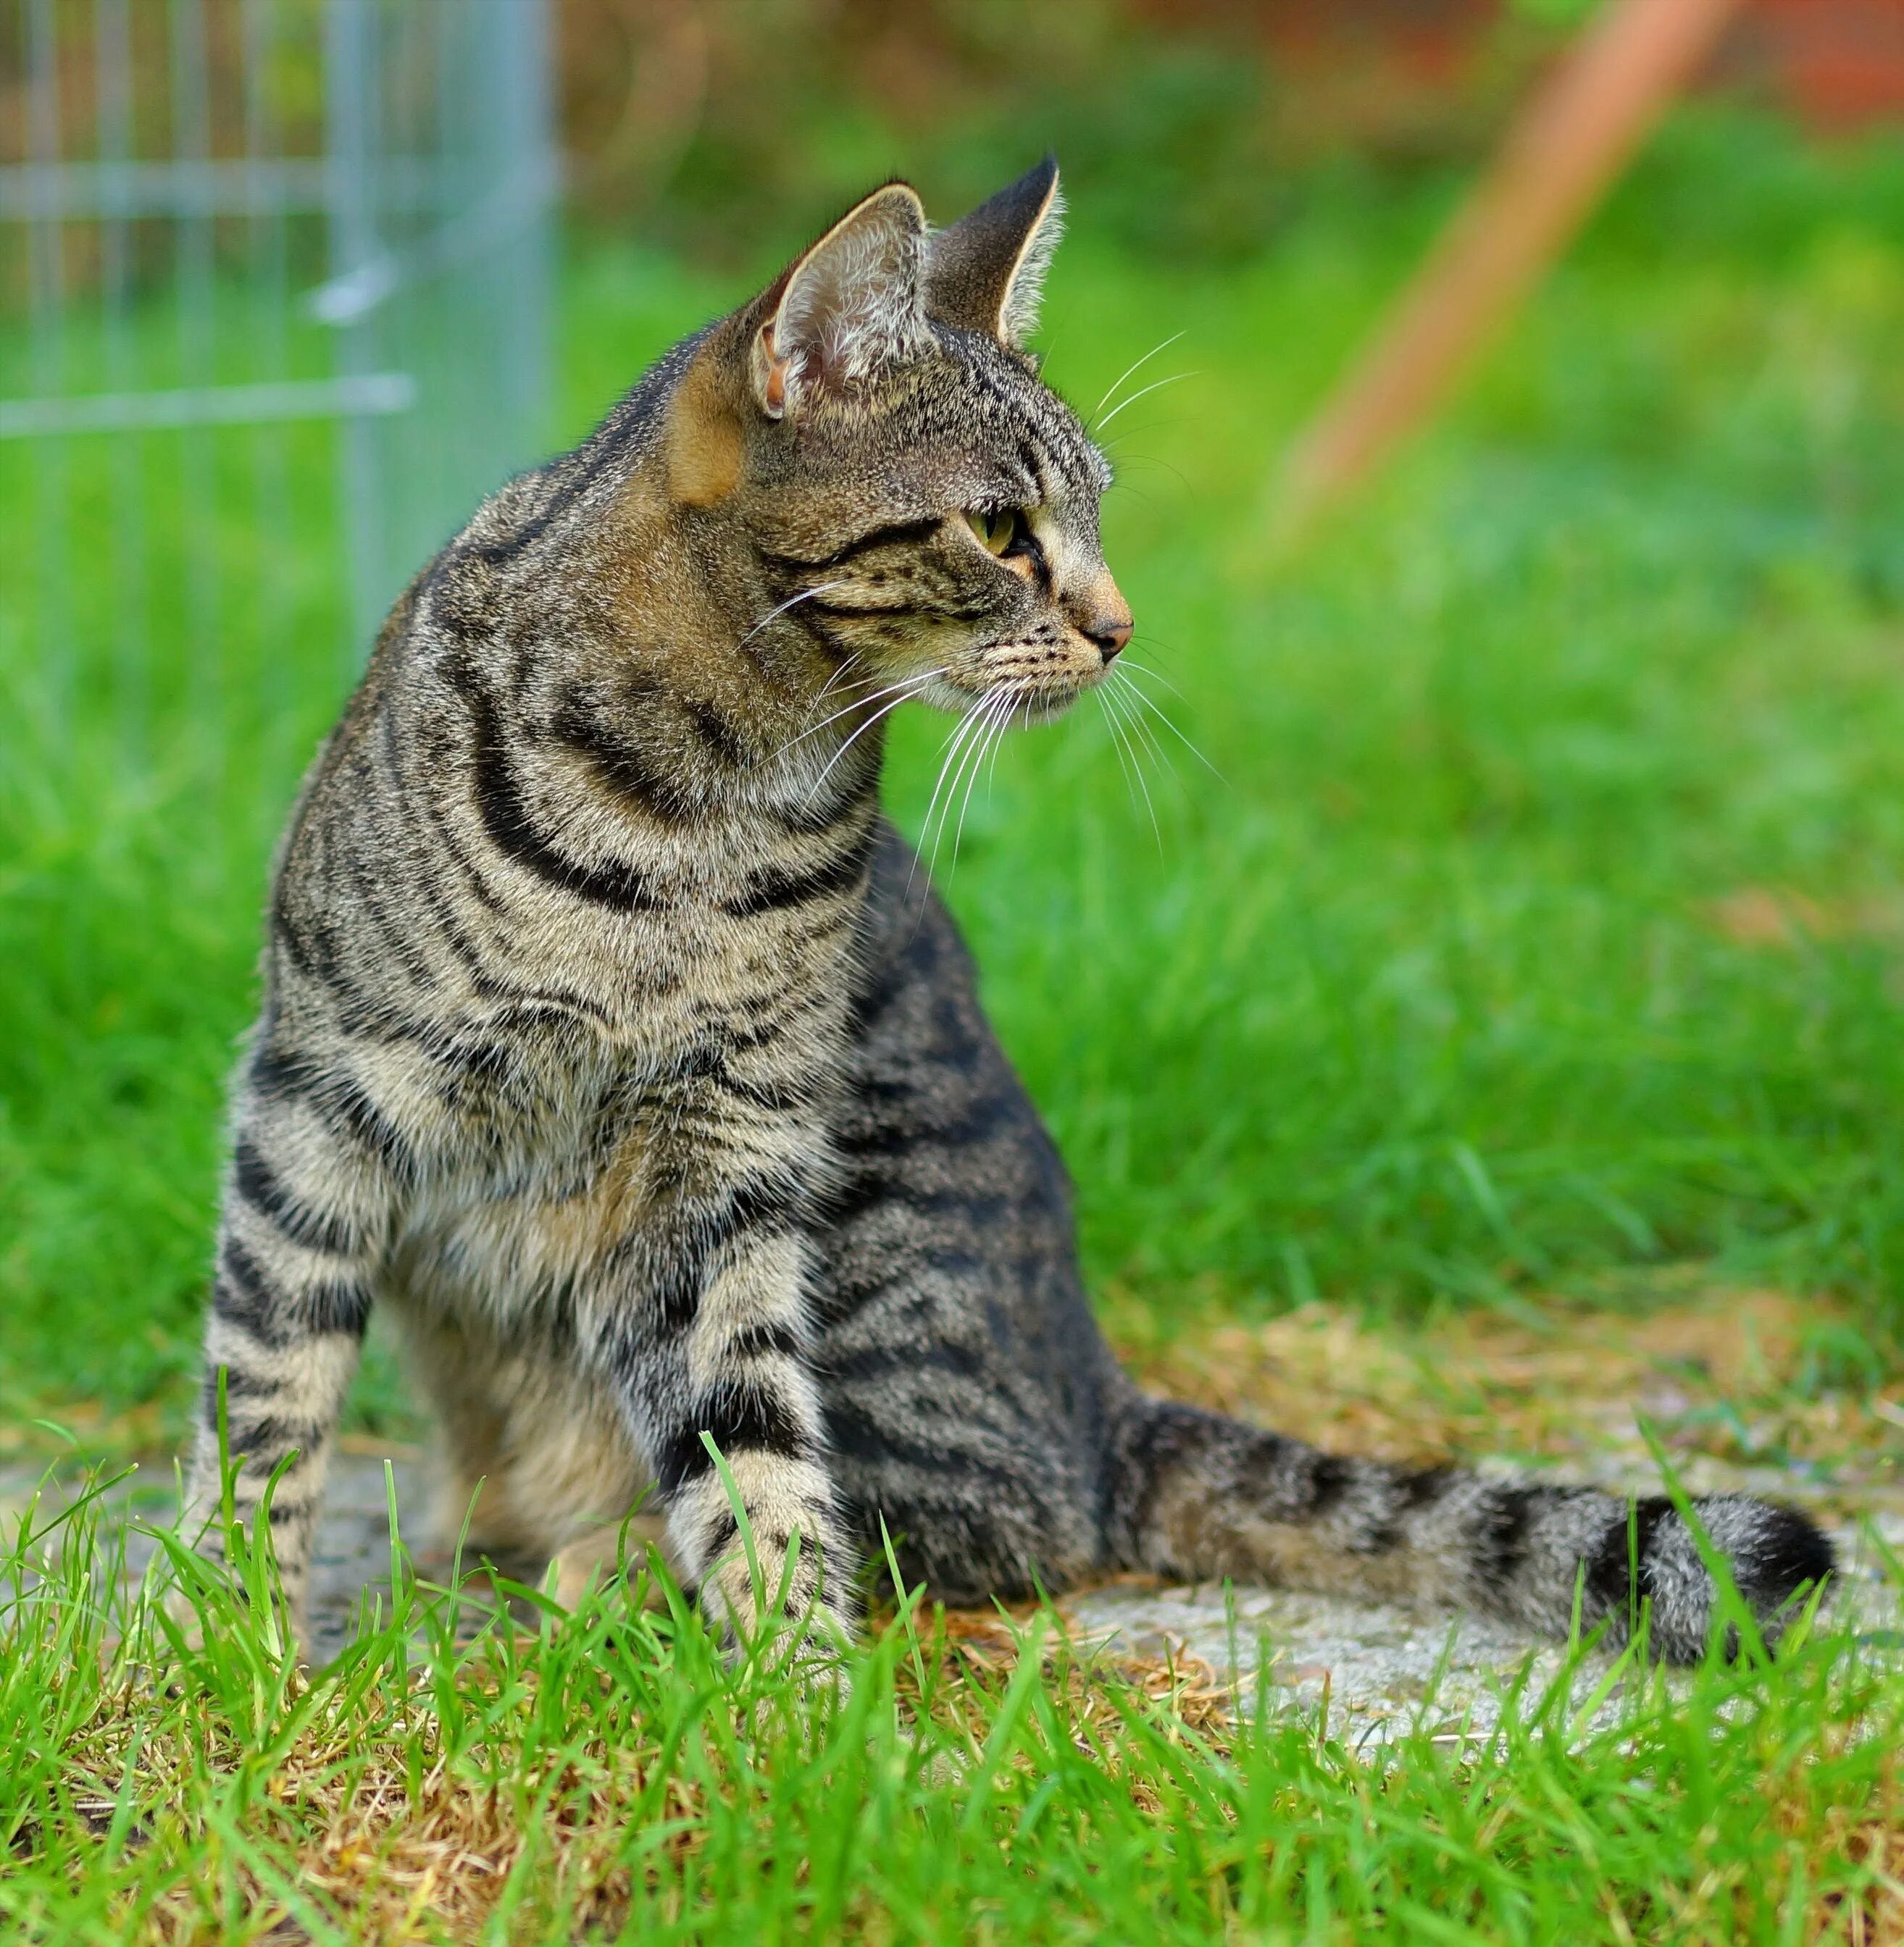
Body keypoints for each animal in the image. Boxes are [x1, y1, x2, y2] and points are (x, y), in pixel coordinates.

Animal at [188, 159, 1822, 1666]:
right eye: (996, 525)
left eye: (1095, 512)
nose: (1119, 626)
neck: (686, 810)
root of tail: (1102, 1406)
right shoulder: (318, 1097)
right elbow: (264, 1400)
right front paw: (229, 1650)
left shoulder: (722, 1166)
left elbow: (756, 1459)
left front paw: (805, 1707)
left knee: (967, 1515)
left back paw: (614, 1581)